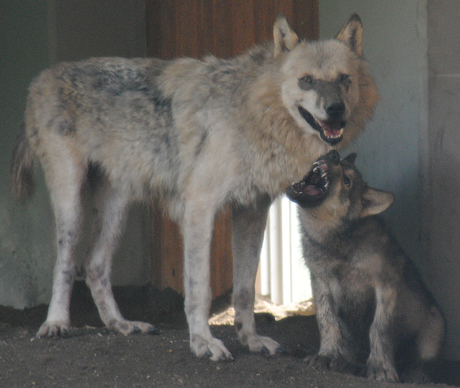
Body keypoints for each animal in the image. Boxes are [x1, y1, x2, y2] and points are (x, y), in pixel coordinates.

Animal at [11, 14, 378, 360]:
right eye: (307, 80)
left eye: (344, 79)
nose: (335, 110)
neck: (252, 112)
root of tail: (41, 77)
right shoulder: (199, 209)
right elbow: (199, 289)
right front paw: (203, 343)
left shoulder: (252, 210)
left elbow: (244, 290)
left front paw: (250, 340)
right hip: (72, 207)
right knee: (66, 263)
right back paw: (55, 323)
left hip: (118, 210)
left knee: (95, 266)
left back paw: (122, 325)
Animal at [286, 151, 444, 382]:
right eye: (339, 161)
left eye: (347, 181)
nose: (333, 154)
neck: (337, 241)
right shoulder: (320, 282)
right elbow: (327, 322)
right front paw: (326, 355)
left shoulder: (385, 285)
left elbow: (378, 329)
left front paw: (380, 367)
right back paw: (351, 365)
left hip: (433, 327)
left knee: (420, 366)